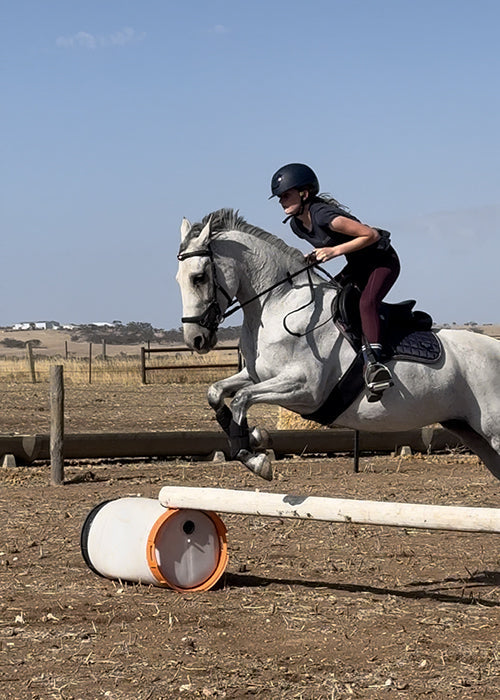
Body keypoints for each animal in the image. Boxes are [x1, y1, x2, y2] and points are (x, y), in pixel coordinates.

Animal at [175, 208, 500, 482]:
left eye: (199, 277)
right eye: (178, 278)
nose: (195, 339)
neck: (280, 304)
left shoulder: (305, 389)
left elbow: (242, 399)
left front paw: (255, 456)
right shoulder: (257, 375)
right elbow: (216, 392)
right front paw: (252, 437)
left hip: (493, 431)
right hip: (471, 432)